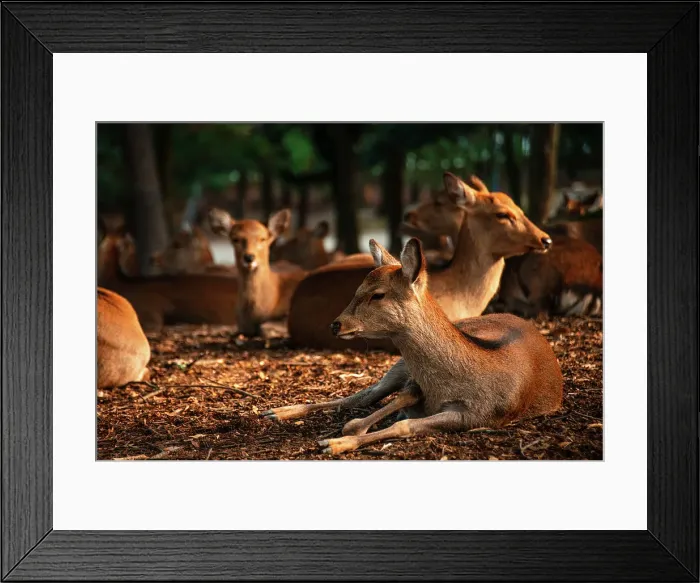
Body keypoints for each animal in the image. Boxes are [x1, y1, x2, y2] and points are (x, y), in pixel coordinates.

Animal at [262, 238, 563, 455]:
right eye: (357, 289)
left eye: (378, 295)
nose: (336, 324)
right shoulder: (416, 384)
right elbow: (391, 405)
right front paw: (345, 433)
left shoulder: (479, 416)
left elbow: (404, 424)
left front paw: (335, 443)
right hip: (398, 366)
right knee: (361, 395)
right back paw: (276, 411)